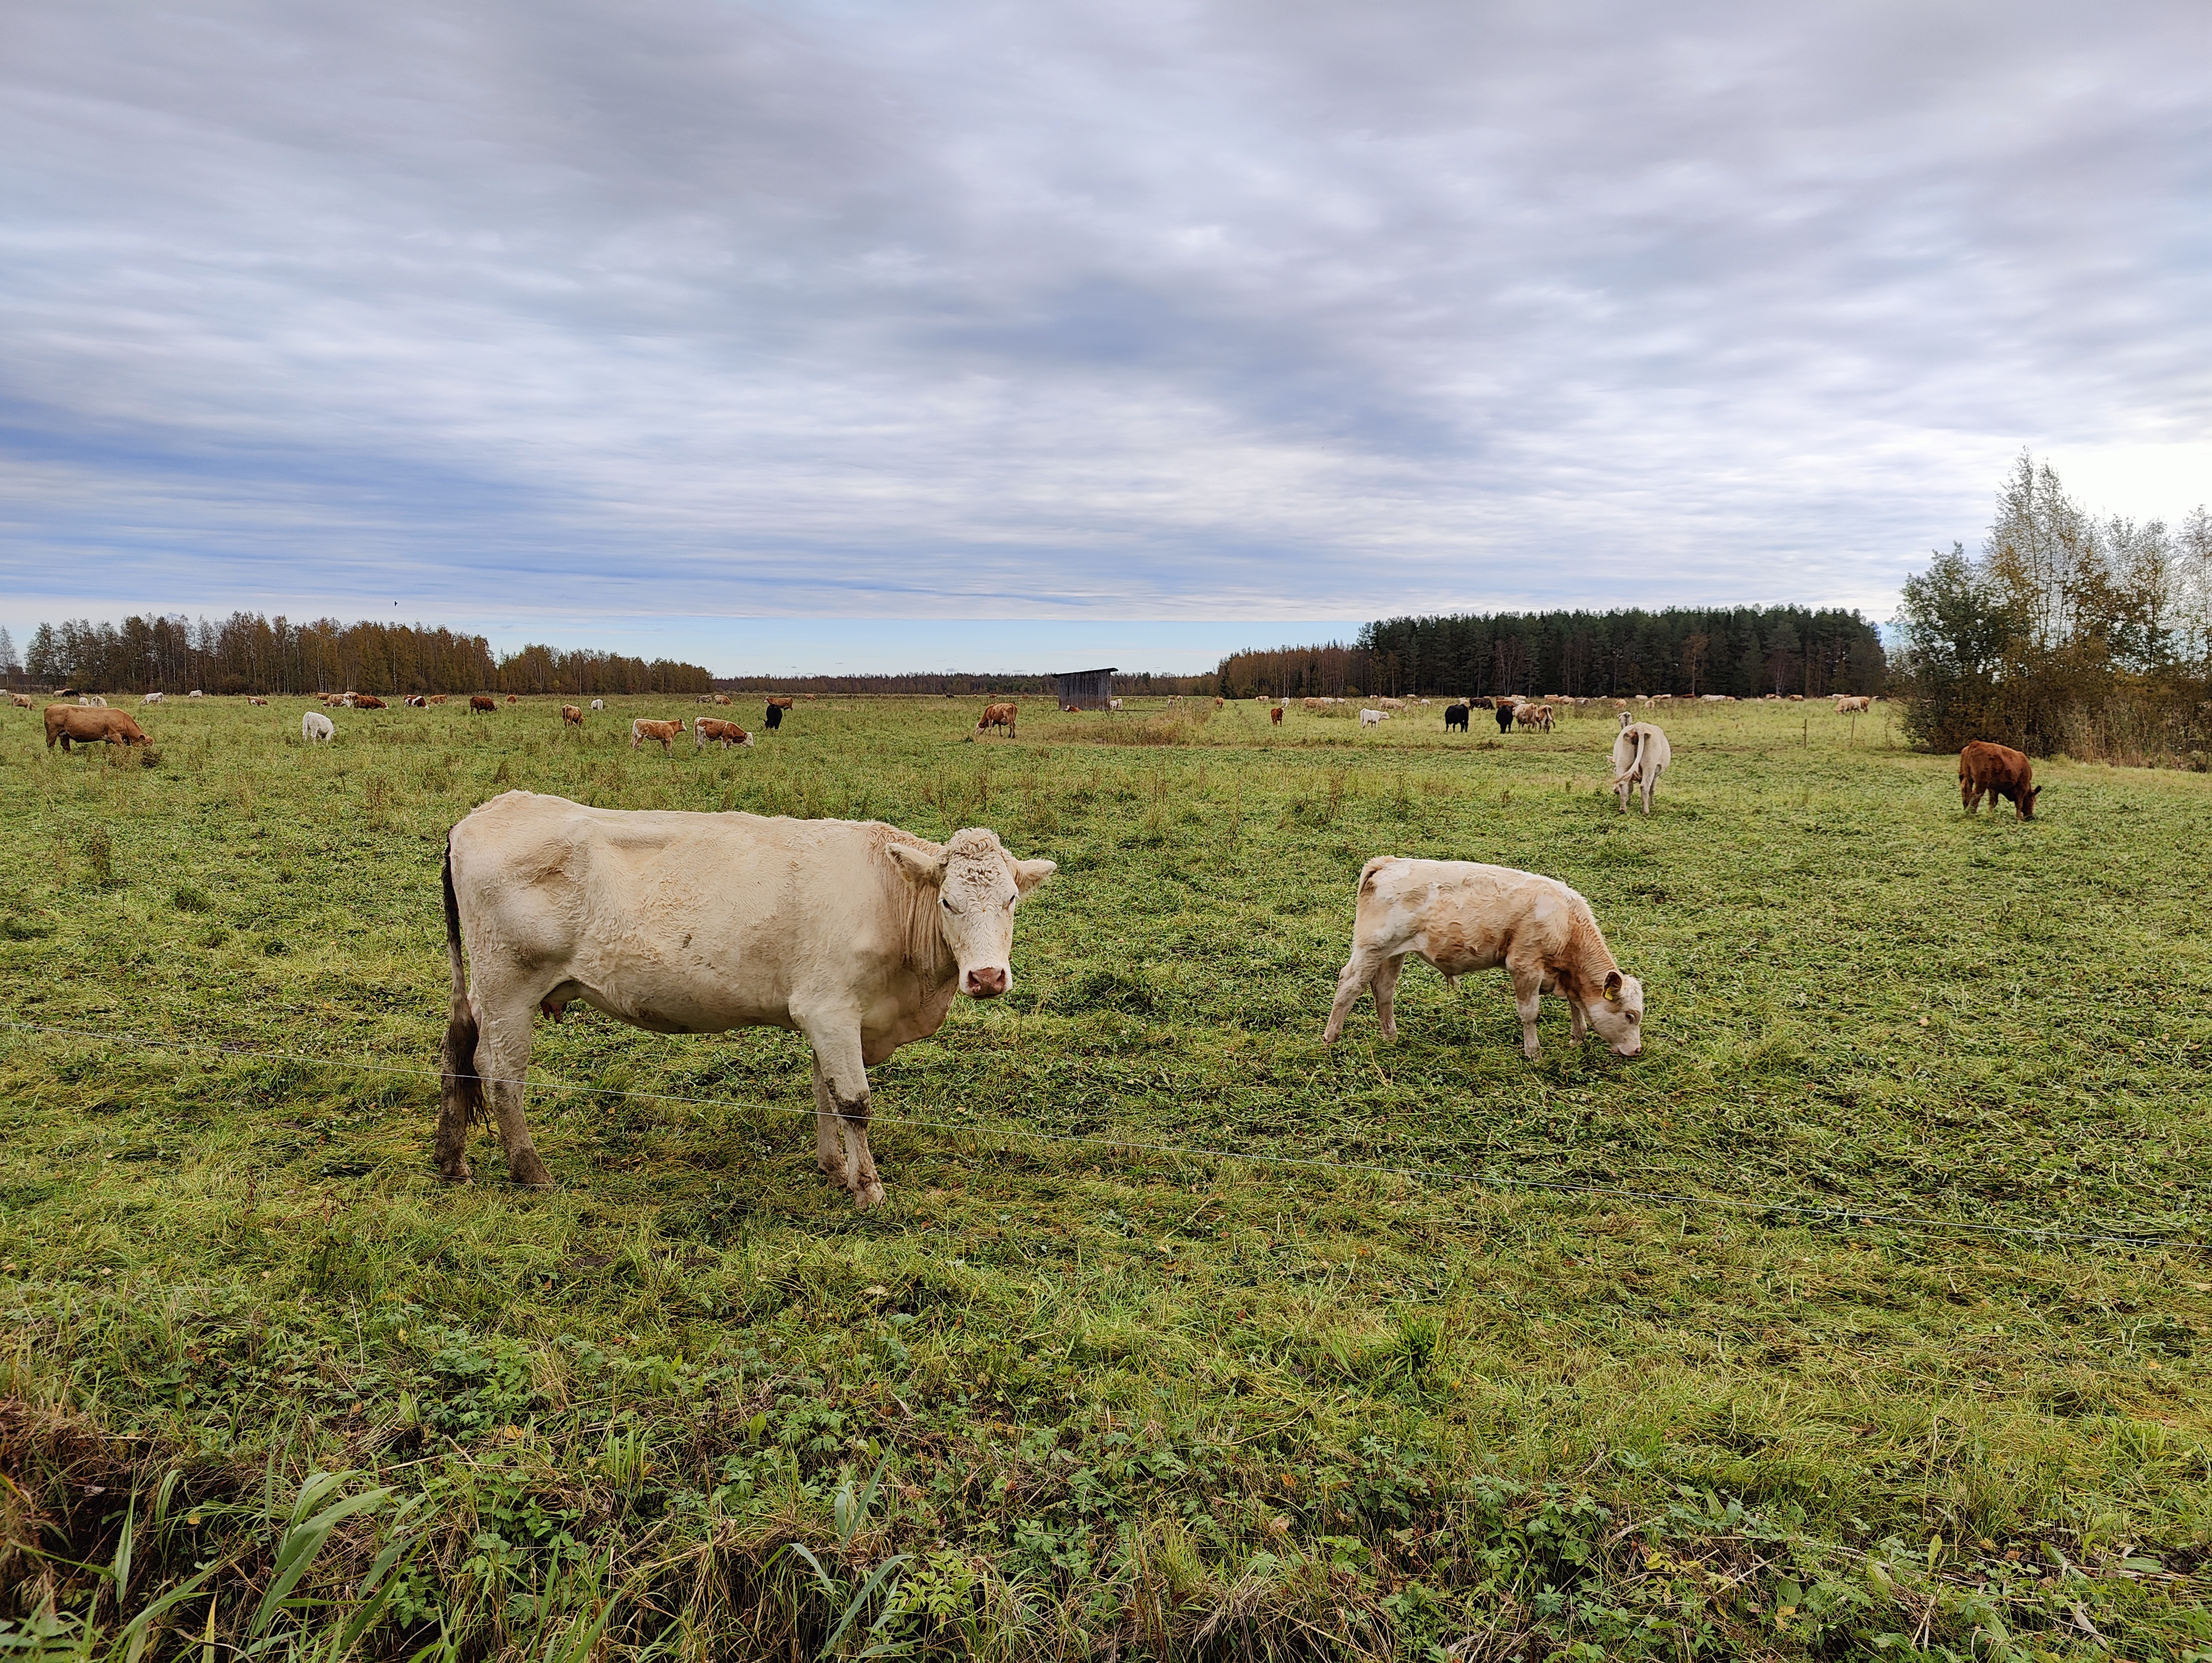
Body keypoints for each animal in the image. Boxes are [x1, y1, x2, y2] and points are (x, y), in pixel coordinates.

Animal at [46, 703, 152, 752]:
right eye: (145, 746)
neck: (124, 720)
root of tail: (52, 705)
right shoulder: (115, 736)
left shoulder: (109, 740)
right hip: (52, 734)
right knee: (50, 745)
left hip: (64, 734)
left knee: (66, 746)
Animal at [440, 796, 1053, 1212]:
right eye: (948, 901)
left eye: (1011, 899)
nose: (988, 977)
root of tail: (491, 810)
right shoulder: (831, 1009)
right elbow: (853, 1102)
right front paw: (869, 1188)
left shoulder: (825, 1015)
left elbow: (824, 1093)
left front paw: (836, 1170)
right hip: (508, 986)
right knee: (499, 1073)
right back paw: (531, 1171)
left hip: (484, 990)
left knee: (457, 1055)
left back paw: (452, 1163)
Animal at [1327, 862, 1646, 1057]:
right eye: (1630, 1016)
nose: (1637, 1051)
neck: (1566, 923)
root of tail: (1387, 863)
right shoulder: (1525, 966)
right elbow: (1530, 1013)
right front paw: (1534, 1054)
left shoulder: (1565, 976)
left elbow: (1576, 1004)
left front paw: (1577, 1037)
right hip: (1372, 947)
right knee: (1350, 984)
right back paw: (1331, 1038)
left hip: (1394, 953)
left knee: (1383, 989)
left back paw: (1391, 1038)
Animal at [1619, 717, 1663, 814]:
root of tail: (1639, 727)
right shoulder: (1656, 773)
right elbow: (1652, 789)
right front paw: (1653, 804)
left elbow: (1630, 787)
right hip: (1649, 765)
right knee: (1645, 786)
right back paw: (1646, 811)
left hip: (1623, 762)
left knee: (1622, 783)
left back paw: (1623, 809)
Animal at [1955, 743, 2035, 823]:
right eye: (2033, 800)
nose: (2030, 816)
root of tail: (1975, 744)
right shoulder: (2022, 787)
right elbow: (2019, 804)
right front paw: (2019, 819)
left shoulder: (1993, 788)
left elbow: (1993, 803)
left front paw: (1989, 817)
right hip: (1981, 783)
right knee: (1975, 795)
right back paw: (1971, 814)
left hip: (1966, 778)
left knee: (1965, 791)